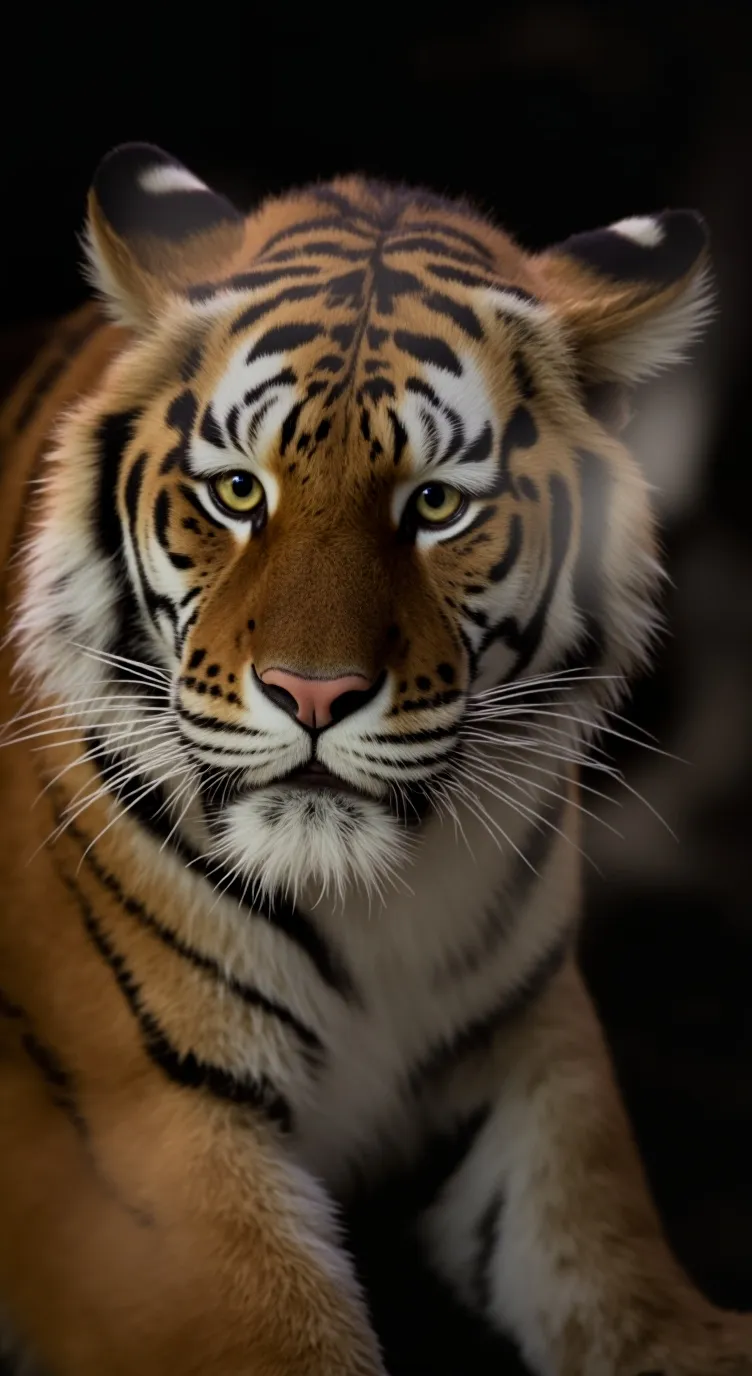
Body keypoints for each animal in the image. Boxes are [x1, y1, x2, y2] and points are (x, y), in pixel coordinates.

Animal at [0, 140, 749, 1376]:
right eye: (238, 491)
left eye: (435, 505)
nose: (314, 693)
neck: (368, 903)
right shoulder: (140, 1126)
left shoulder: (533, 1054)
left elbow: (622, 1278)